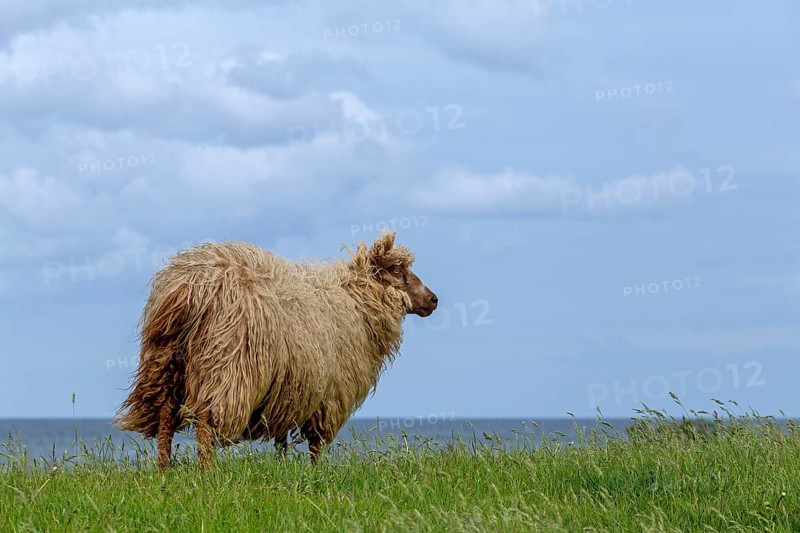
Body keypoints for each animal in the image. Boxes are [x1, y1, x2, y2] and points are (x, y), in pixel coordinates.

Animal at [113, 231, 438, 469]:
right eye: (396, 270)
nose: (433, 299)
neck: (355, 300)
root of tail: (190, 285)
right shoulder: (329, 393)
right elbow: (316, 442)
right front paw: (317, 472)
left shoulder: (290, 387)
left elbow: (281, 436)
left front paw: (283, 466)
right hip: (226, 364)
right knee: (206, 418)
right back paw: (206, 472)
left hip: (165, 362)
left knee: (165, 415)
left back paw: (164, 469)